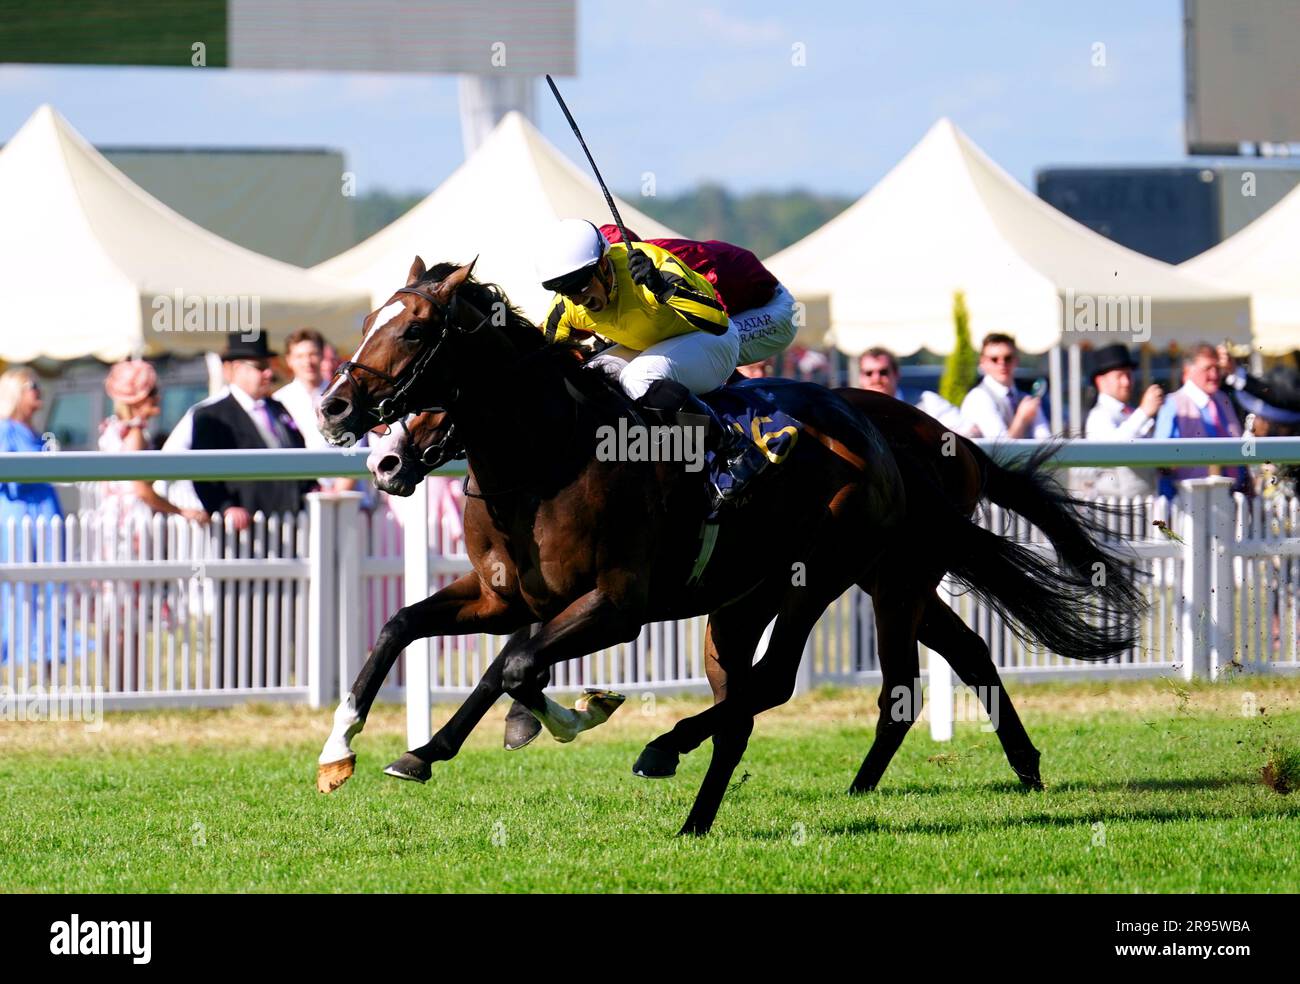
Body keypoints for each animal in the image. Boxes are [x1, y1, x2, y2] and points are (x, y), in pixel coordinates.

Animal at [316, 257, 1143, 835]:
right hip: (788, 594)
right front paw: (346, 753)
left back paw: (671, 751)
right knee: (775, 698)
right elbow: (406, 629)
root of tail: (900, 440)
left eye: (414, 330)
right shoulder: (505, 596)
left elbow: (513, 666)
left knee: (783, 683)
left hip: (840, 575)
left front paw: (541, 722)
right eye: (367, 321)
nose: (337, 410)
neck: (551, 456)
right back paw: (702, 815)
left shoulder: (617, 605)